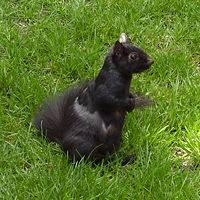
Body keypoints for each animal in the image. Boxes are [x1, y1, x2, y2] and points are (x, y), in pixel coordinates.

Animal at [33, 33, 154, 166]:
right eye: (133, 56)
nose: (151, 61)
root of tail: (63, 145)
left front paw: (132, 101)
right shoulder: (102, 92)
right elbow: (110, 101)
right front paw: (129, 103)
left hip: (116, 138)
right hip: (86, 143)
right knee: (86, 160)